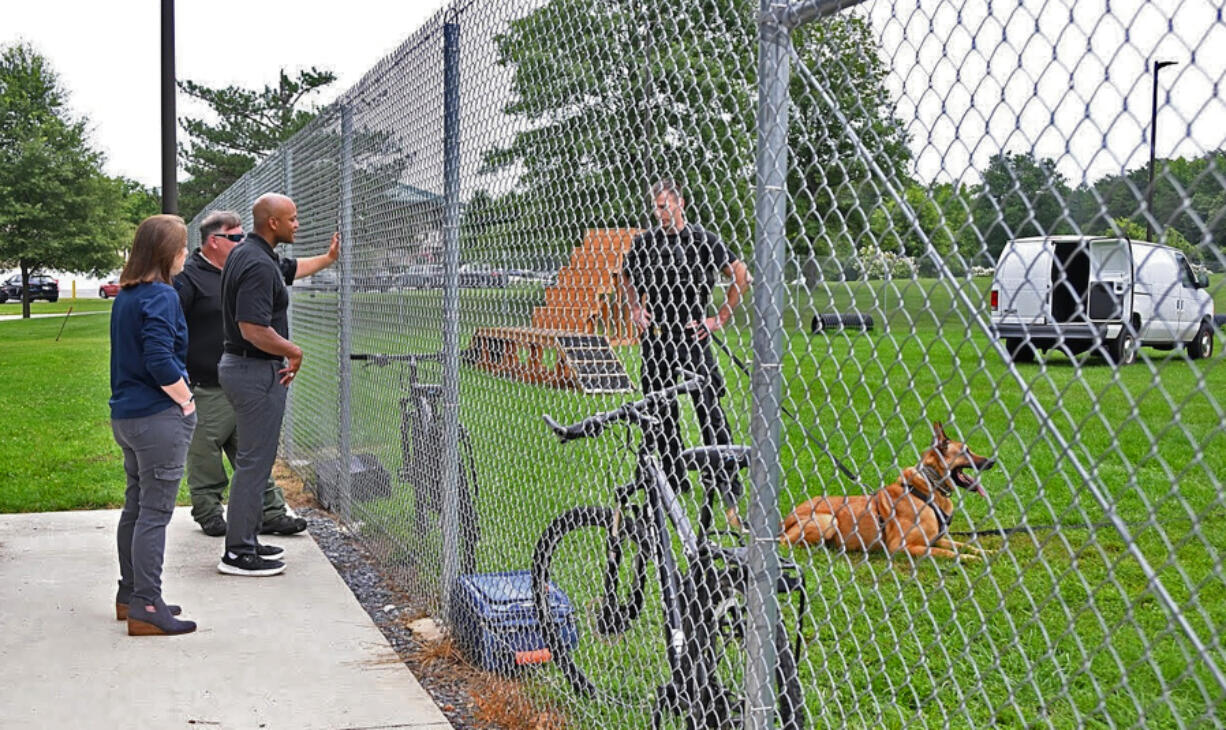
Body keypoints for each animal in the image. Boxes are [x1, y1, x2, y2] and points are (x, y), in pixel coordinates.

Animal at [784, 422, 995, 559]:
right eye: (966, 451)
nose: (992, 461)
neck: (928, 485)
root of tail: (786, 518)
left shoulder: (936, 539)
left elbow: (962, 545)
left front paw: (986, 552)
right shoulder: (902, 546)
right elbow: (949, 553)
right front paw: (969, 559)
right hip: (828, 520)